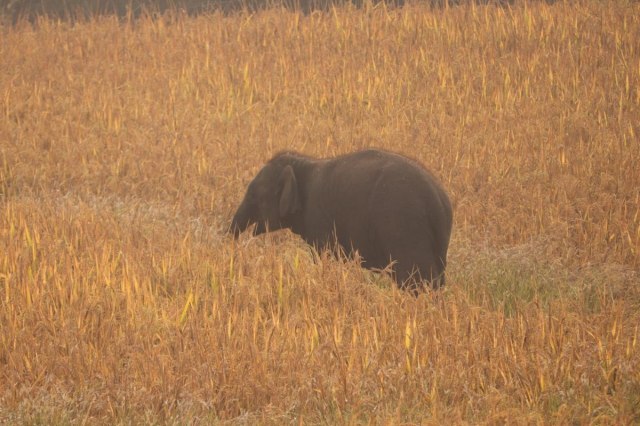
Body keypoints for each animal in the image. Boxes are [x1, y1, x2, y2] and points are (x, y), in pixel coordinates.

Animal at [228, 148, 452, 292]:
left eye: (253, 196)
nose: (234, 251)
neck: (304, 163)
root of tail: (438, 202)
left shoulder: (319, 217)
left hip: (405, 228)